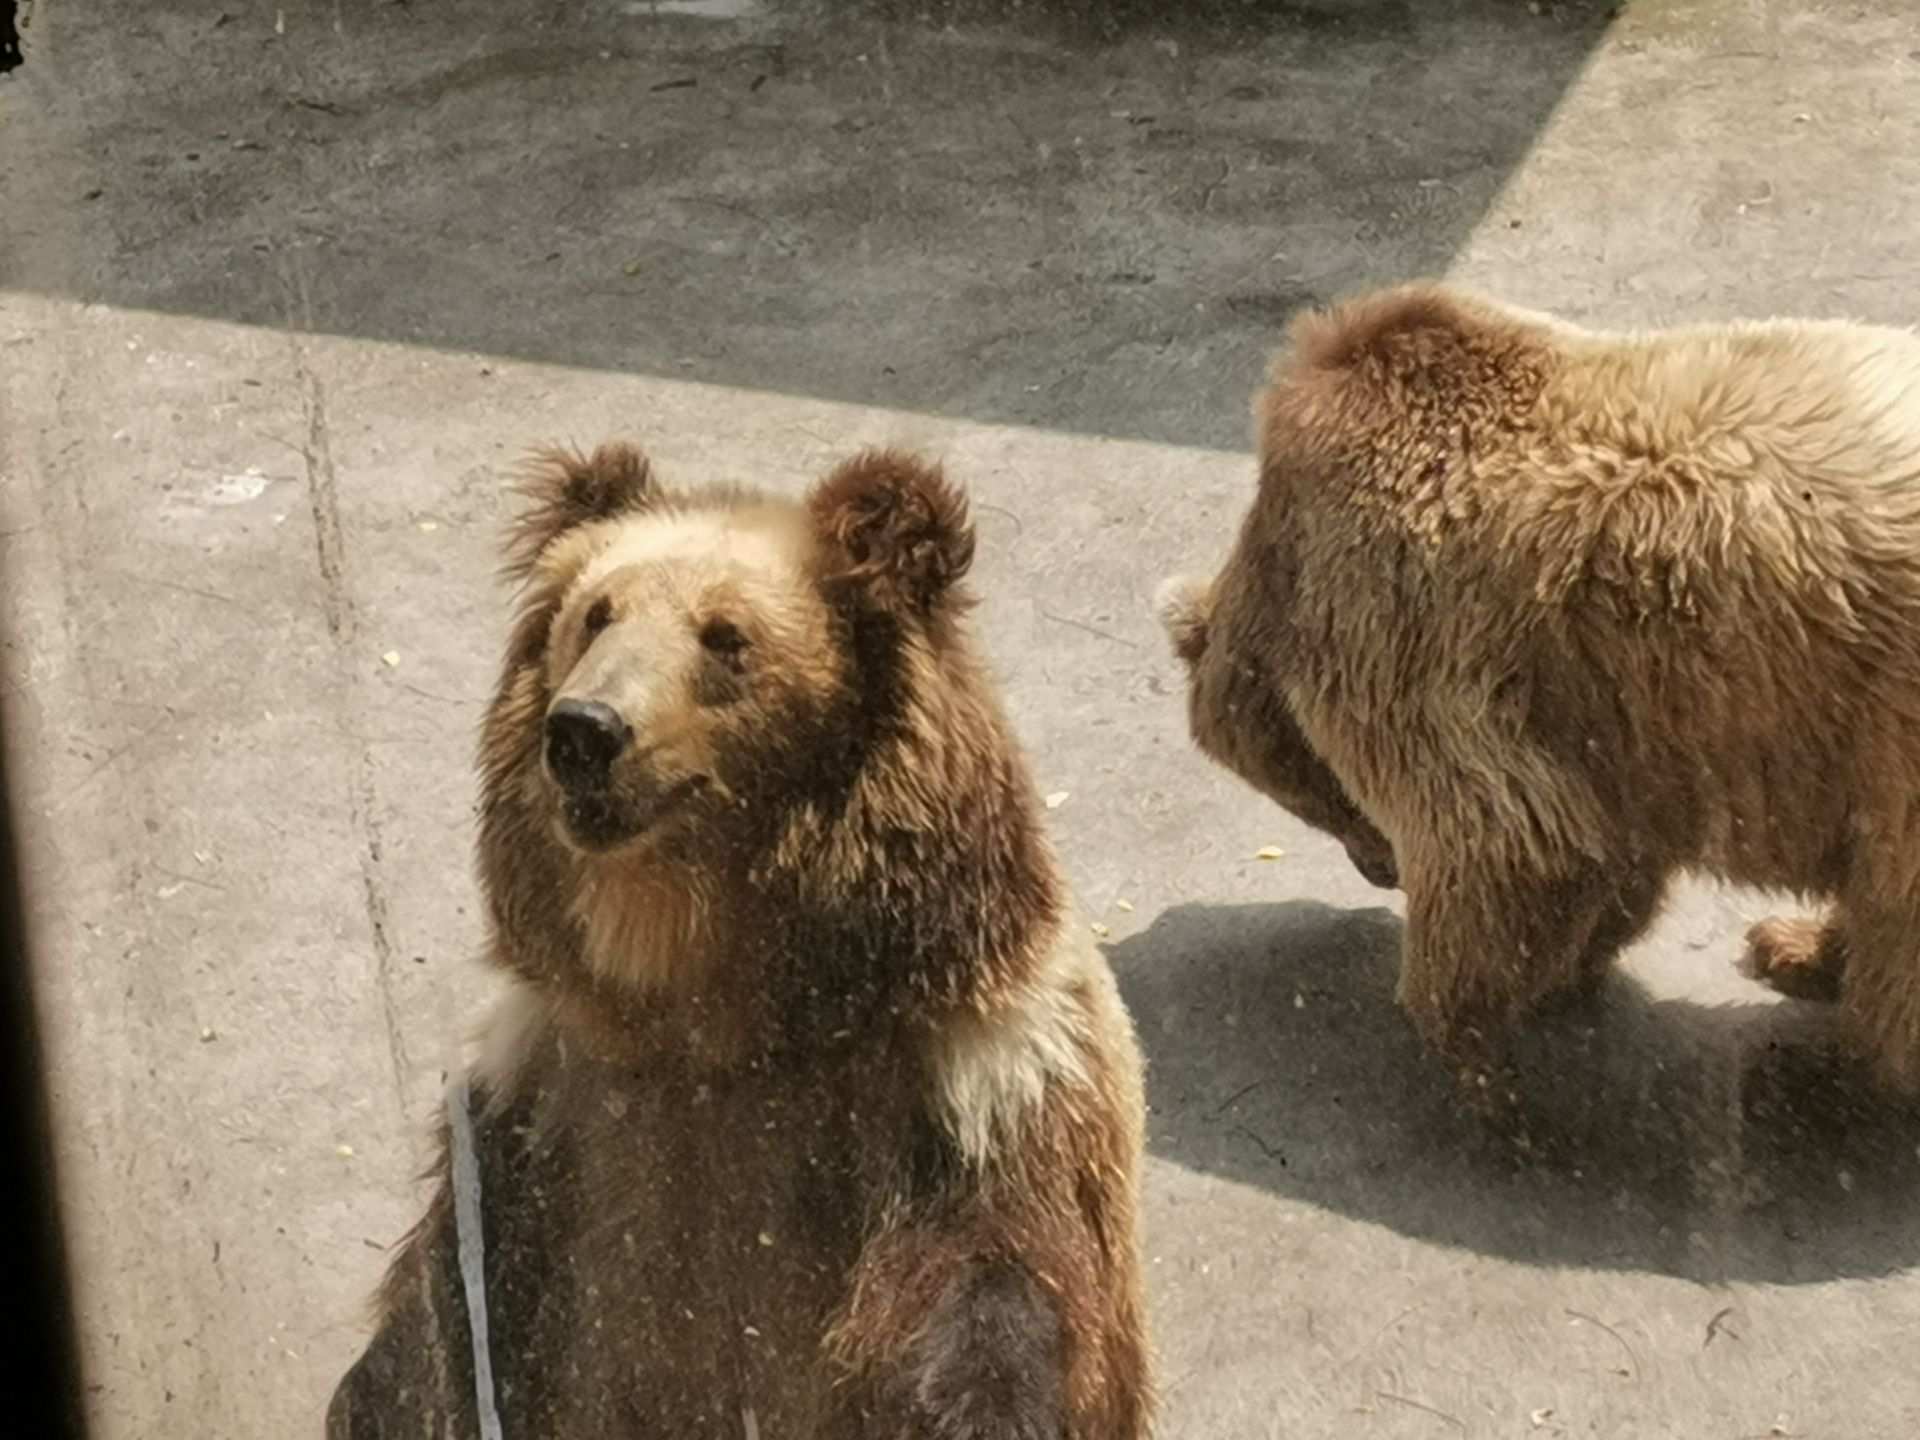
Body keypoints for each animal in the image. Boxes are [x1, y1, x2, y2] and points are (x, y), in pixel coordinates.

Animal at [326, 445, 1152, 1440]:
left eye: (725, 638)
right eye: (596, 613)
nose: (584, 730)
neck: (718, 1012)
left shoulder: (975, 1098)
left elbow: (993, 1311)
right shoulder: (541, 1113)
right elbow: (436, 1330)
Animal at [1159, 282, 1920, 1090]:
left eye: (1304, 800)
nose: (1380, 872)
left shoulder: (1407, 623)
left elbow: (1506, 843)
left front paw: (1449, 1022)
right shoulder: (1602, 718)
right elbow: (1599, 845)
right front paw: (1571, 965)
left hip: (1892, 732)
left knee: (1898, 920)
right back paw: (1795, 946)